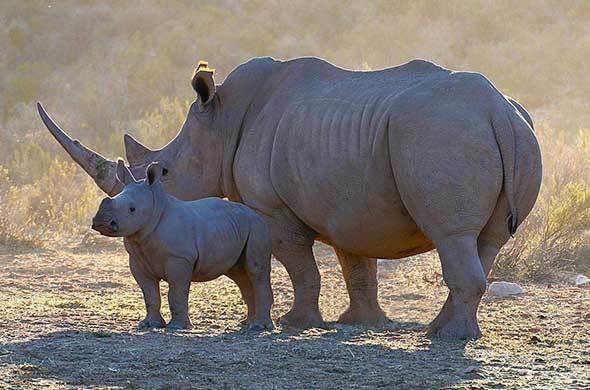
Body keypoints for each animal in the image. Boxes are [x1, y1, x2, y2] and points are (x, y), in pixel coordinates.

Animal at [92, 160, 276, 330]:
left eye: (132, 209)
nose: (100, 222)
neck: (155, 209)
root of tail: (254, 214)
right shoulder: (137, 259)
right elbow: (149, 294)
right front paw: (149, 324)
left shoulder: (179, 258)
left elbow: (176, 293)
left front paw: (178, 327)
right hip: (235, 228)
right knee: (239, 274)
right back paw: (247, 324)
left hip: (257, 227)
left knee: (255, 270)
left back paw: (260, 326)